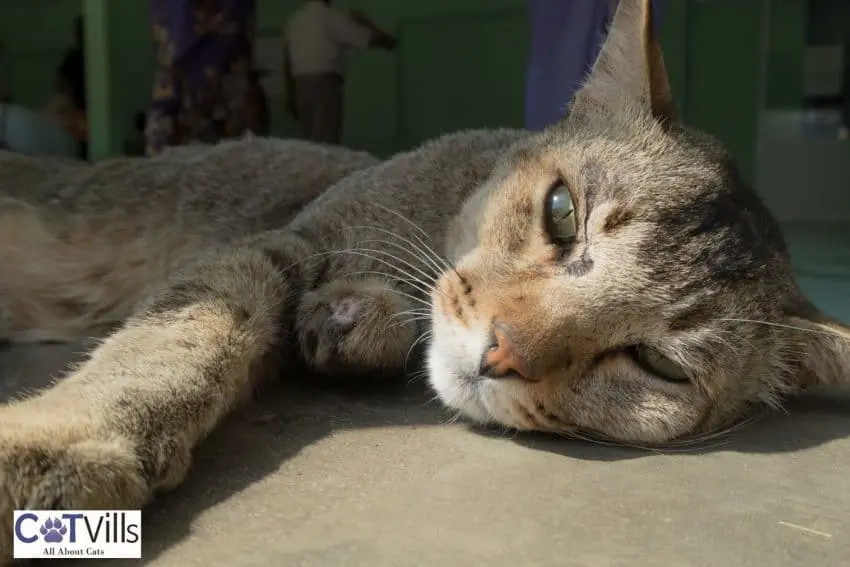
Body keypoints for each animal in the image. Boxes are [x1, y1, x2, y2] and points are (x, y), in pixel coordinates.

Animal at [1, 0, 848, 560]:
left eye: (659, 364)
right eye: (562, 210)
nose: (503, 351)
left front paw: (350, 321)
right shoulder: (279, 241)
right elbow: (183, 334)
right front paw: (64, 438)